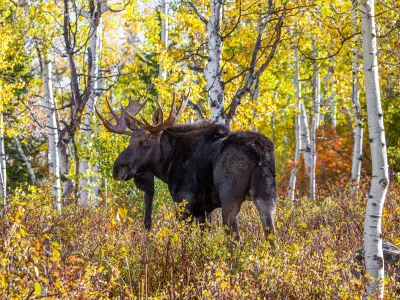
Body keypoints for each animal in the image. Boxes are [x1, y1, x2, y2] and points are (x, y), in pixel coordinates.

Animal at [96, 94, 276, 241]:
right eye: (129, 141)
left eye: (145, 142)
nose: (118, 169)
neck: (168, 164)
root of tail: (259, 153)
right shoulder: (204, 209)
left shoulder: (185, 202)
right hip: (266, 197)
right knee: (270, 236)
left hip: (230, 198)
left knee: (235, 238)